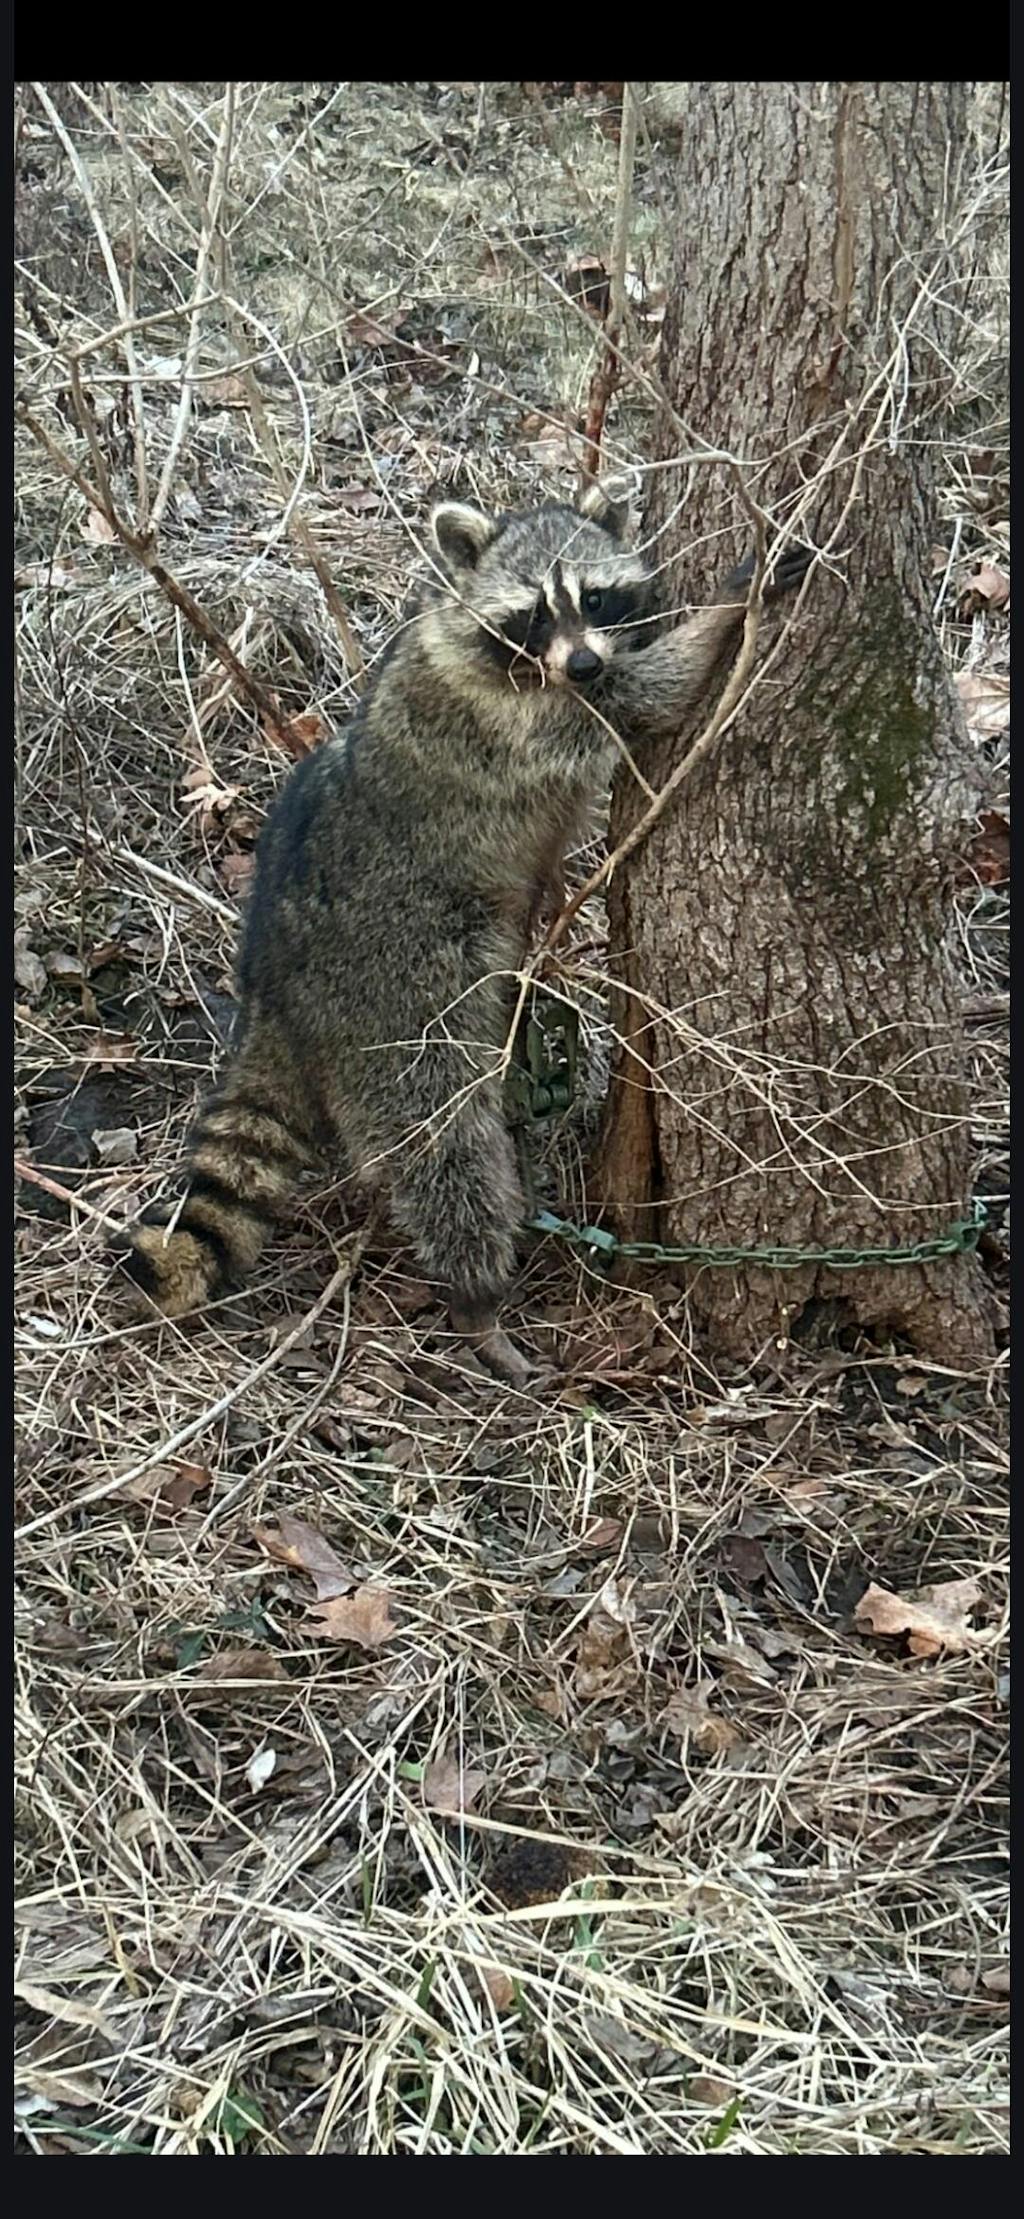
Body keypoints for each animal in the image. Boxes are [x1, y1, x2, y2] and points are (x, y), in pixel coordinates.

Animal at [121, 479, 811, 1381]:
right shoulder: (511, 722)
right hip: (394, 1000)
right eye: (532, 614)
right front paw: (732, 604)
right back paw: (477, 1298)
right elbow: (645, 696)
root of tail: (272, 982)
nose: (583, 663)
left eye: (594, 598)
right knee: (445, 1145)